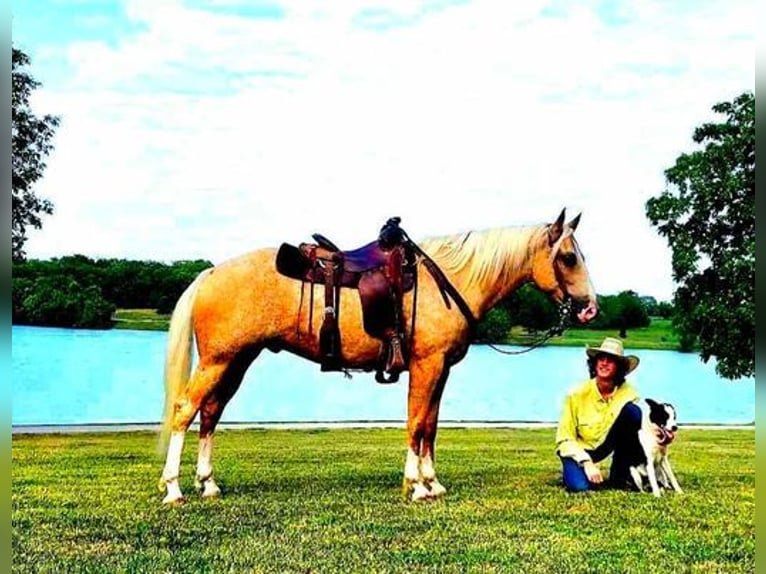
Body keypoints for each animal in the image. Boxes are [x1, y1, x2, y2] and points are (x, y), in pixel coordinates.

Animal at [156, 210, 600, 504]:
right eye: (568, 257)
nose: (590, 308)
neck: (449, 282)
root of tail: (210, 273)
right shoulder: (426, 366)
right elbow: (416, 423)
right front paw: (416, 486)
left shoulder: (440, 371)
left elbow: (430, 426)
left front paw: (432, 482)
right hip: (218, 360)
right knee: (184, 410)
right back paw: (174, 488)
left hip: (236, 361)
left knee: (210, 413)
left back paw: (208, 483)